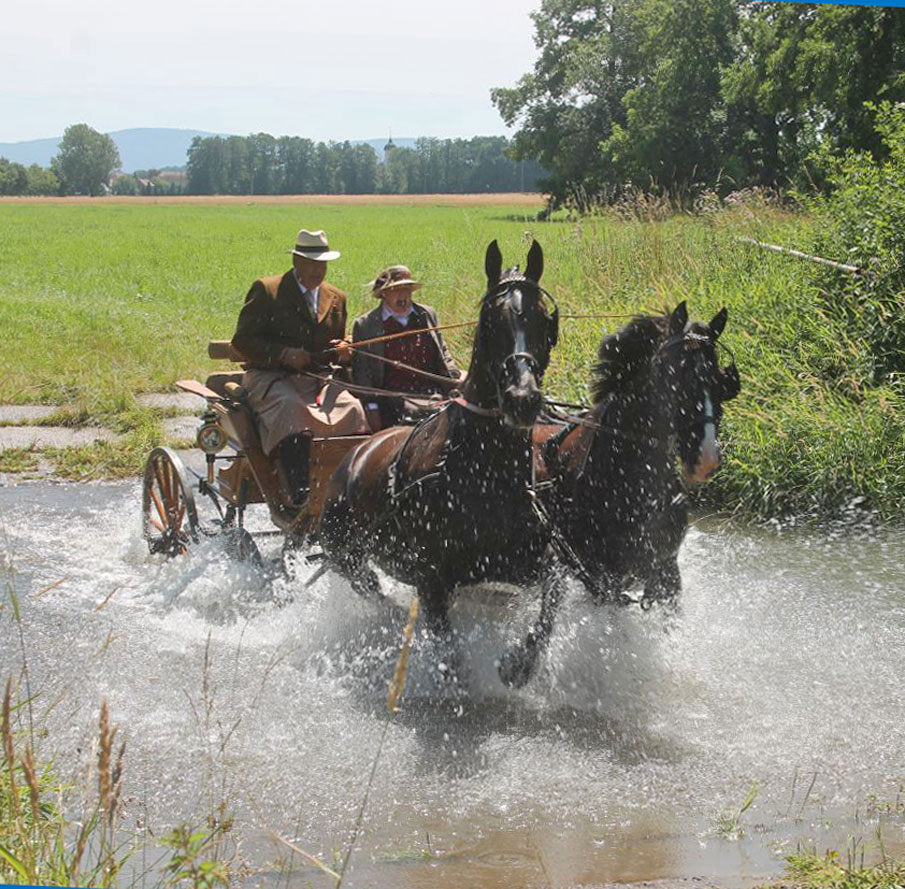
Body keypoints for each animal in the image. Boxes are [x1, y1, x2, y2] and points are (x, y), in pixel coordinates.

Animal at [318, 239, 556, 656]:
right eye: (489, 322)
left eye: (544, 321)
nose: (522, 399)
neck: (486, 472)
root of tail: (355, 454)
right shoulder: (431, 581)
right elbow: (450, 656)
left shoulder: (526, 560)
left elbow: (550, 604)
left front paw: (517, 662)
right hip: (344, 554)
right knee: (373, 589)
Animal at [498, 302, 740, 684]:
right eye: (678, 379)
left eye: (720, 381)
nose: (707, 458)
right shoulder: (573, 562)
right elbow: (551, 618)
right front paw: (520, 663)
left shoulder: (663, 568)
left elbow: (669, 623)